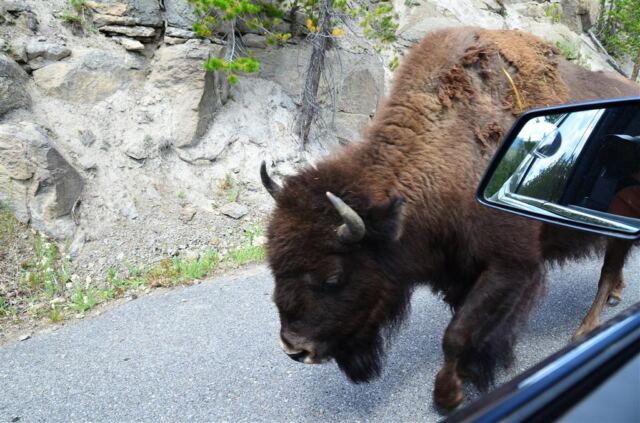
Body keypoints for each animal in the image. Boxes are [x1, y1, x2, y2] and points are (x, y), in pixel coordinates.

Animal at [260, 27, 639, 409]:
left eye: (333, 277)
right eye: (274, 266)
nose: (294, 348)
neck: (450, 150)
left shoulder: (511, 266)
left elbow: (457, 333)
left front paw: (449, 395)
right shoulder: (458, 270)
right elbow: (461, 324)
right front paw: (466, 376)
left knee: (610, 266)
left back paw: (586, 329)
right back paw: (614, 297)